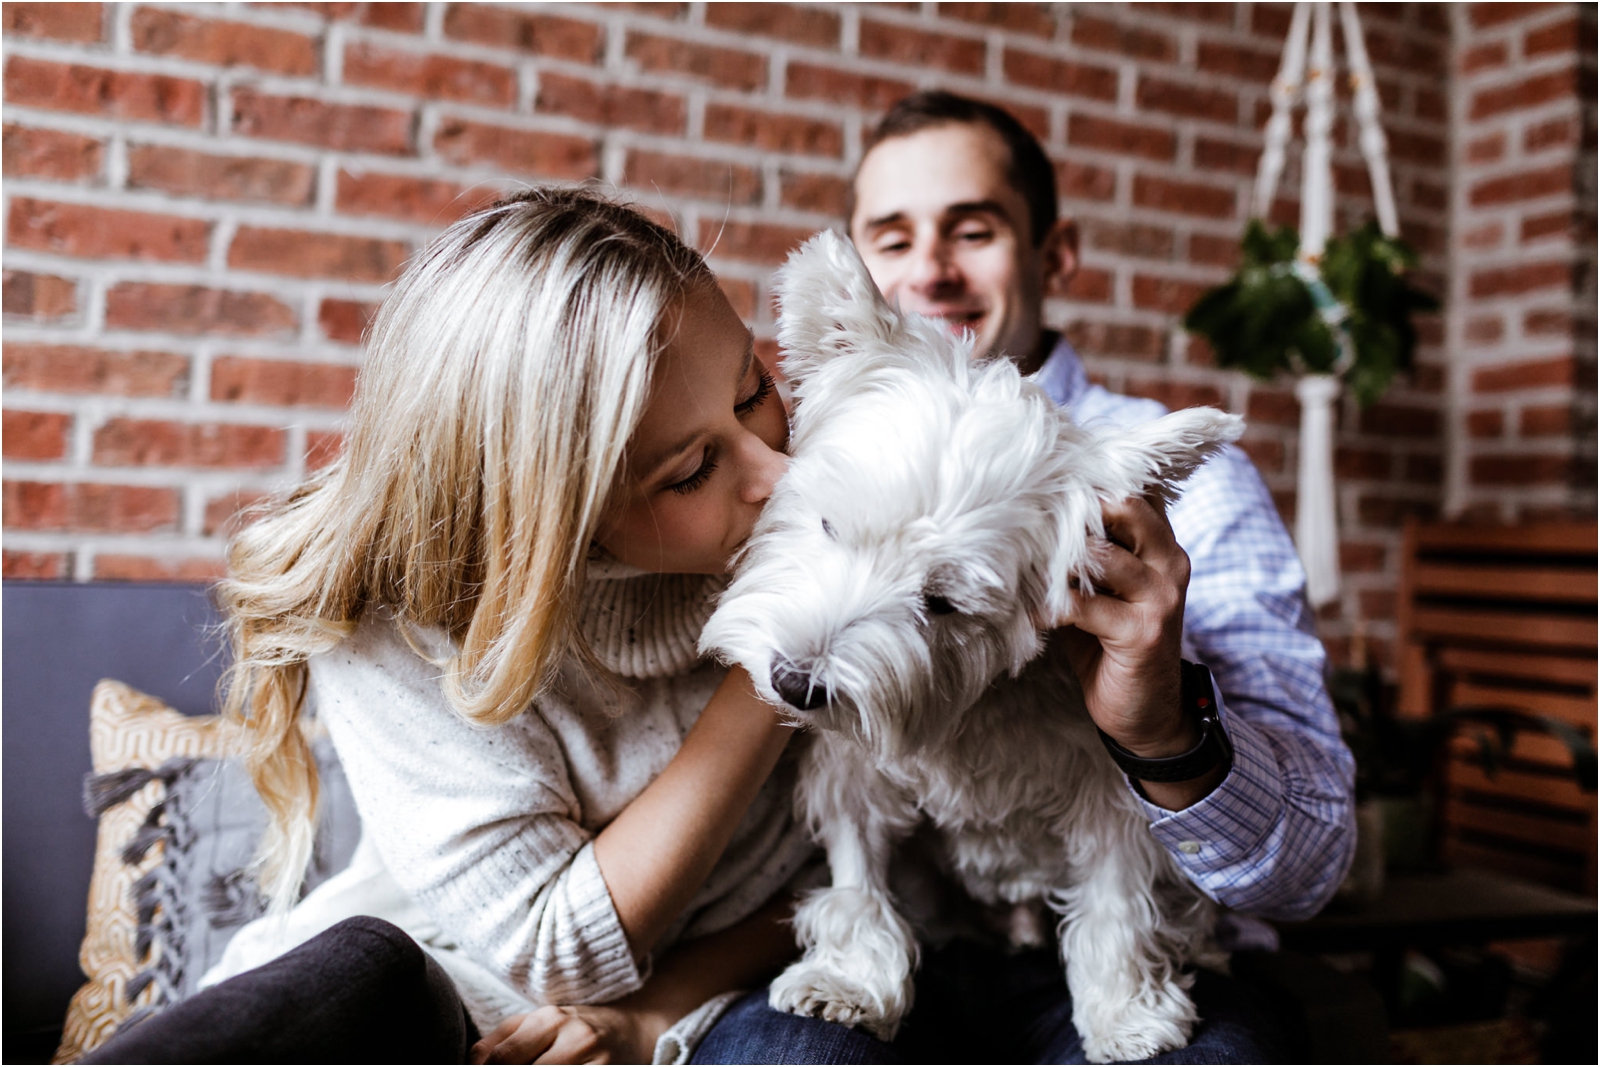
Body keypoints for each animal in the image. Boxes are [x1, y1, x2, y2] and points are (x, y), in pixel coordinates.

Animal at [704, 233, 1248, 1062]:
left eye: (943, 601)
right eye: (829, 525)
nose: (796, 682)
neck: (968, 704)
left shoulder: (1107, 786)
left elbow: (1117, 895)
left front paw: (1127, 1012)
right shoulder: (854, 774)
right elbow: (858, 878)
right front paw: (850, 982)